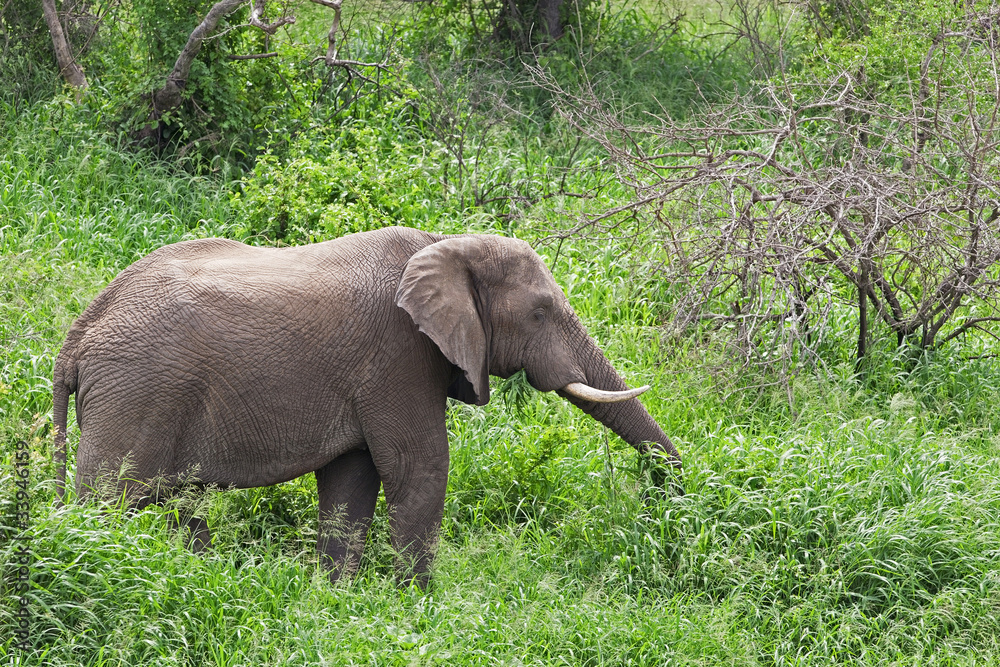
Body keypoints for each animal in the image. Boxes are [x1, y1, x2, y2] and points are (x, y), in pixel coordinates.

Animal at [52, 227, 680, 588]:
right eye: (542, 312)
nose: (664, 500)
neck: (443, 241)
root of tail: (79, 335)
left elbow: (351, 481)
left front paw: (338, 598)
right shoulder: (399, 356)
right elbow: (418, 466)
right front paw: (418, 605)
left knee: (178, 503)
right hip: (136, 389)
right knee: (108, 500)